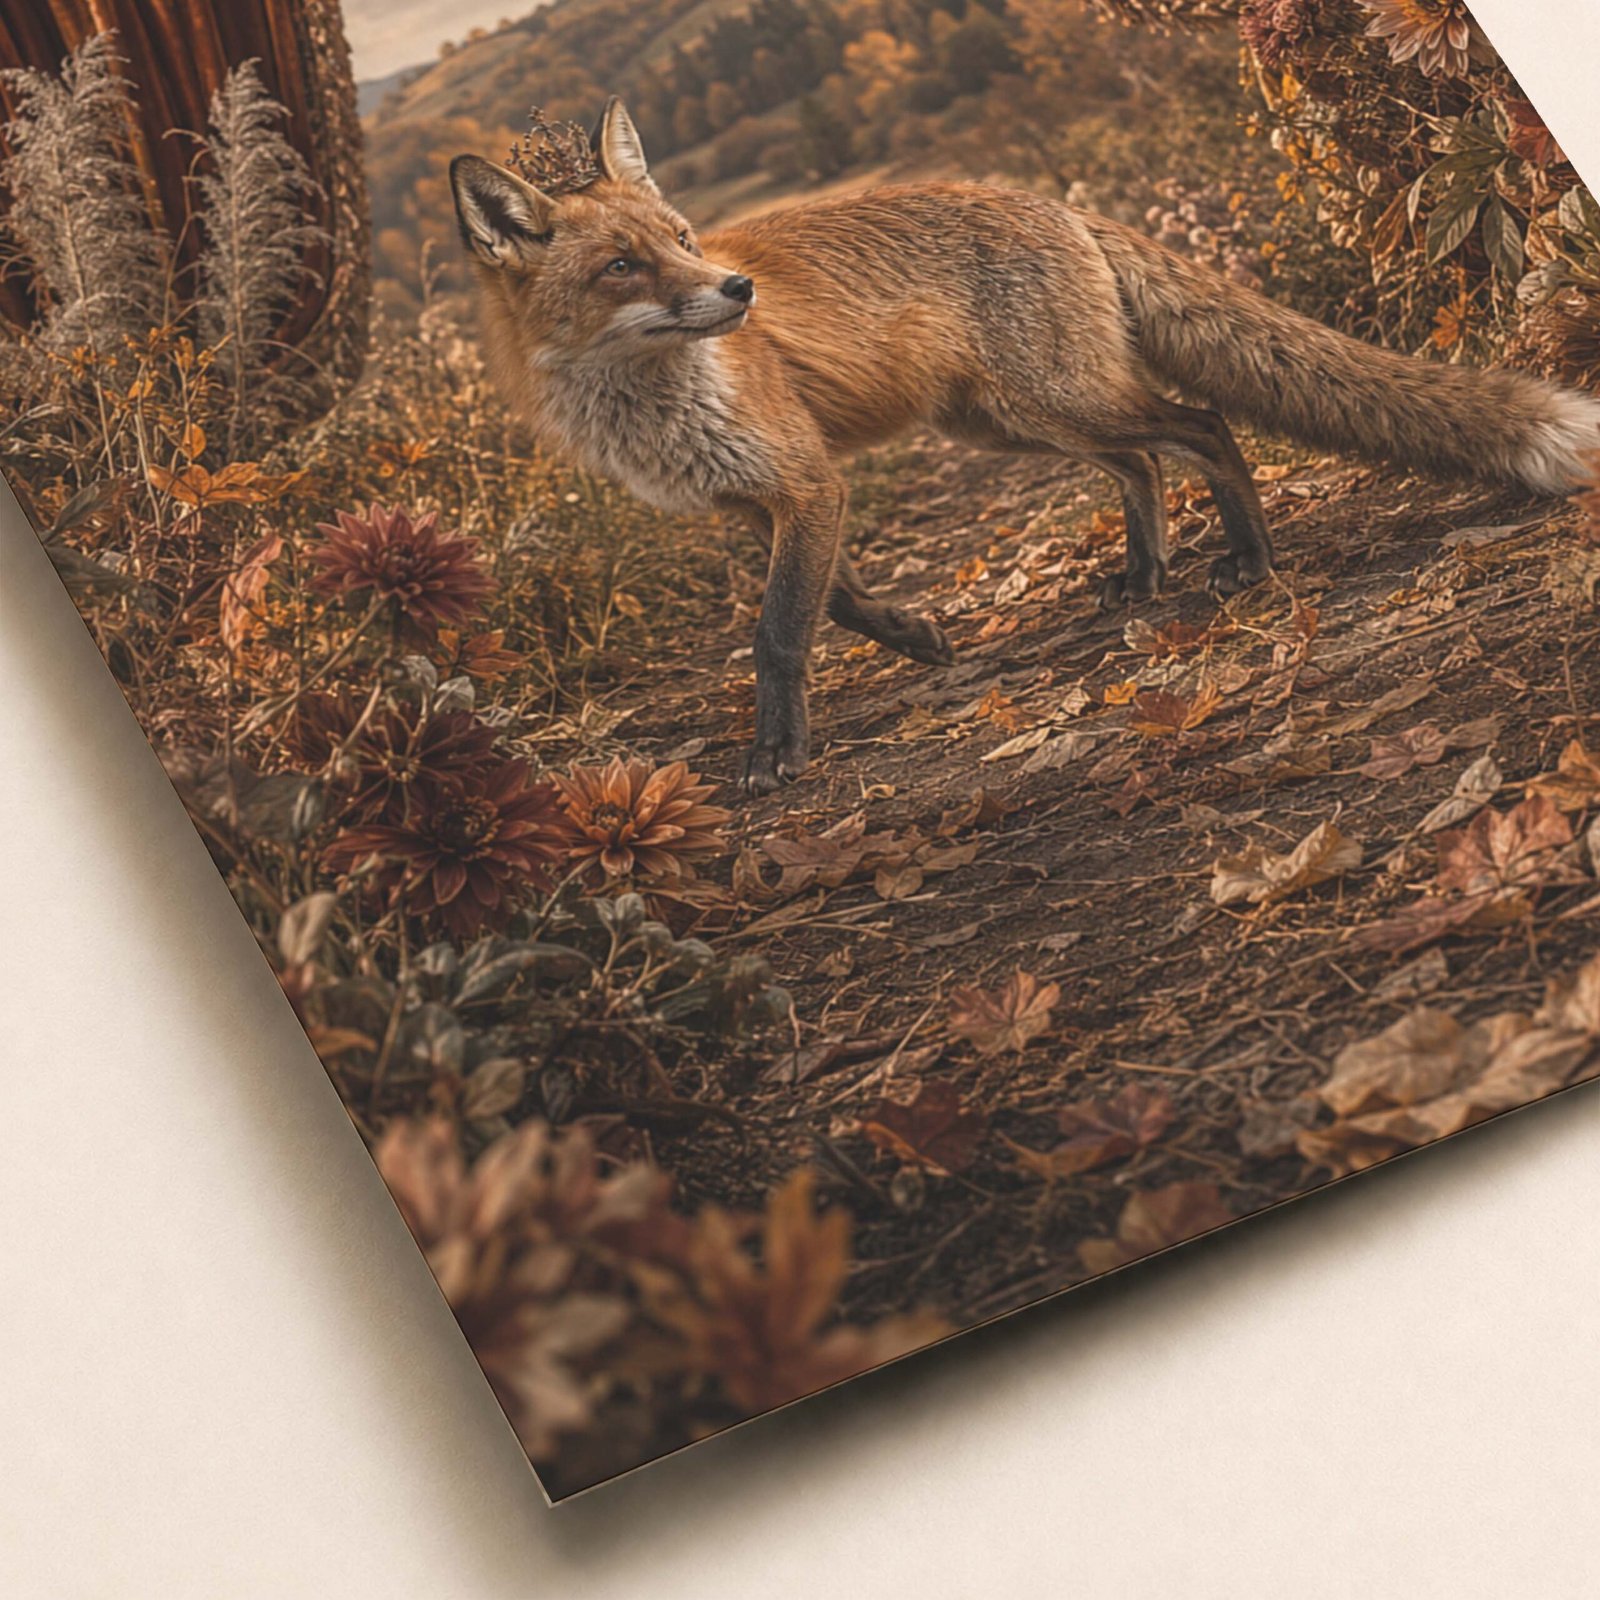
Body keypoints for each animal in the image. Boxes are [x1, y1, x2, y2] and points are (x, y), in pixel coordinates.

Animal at [451, 98, 1600, 796]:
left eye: (683, 239)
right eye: (621, 264)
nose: (738, 293)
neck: (647, 406)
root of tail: (1057, 201)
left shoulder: (805, 482)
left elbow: (780, 633)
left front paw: (778, 752)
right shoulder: (758, 500)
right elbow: (839, 602)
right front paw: (918, 638)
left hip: (1052, 400)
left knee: (1202, 426)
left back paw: (1248, 559)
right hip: (1008, 421)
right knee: (1143, 463)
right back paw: (1144, 575)